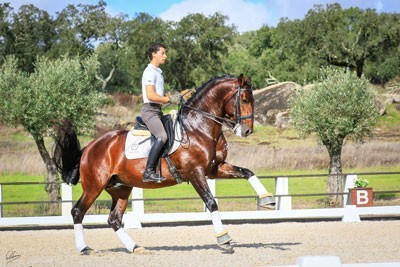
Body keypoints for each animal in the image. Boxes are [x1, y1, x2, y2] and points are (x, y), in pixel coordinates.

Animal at [54, 74, 276, 255]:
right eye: (245, 99)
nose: (247, 131)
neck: (199, 127)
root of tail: (90, 147)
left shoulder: (214, 169)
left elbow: (247, 172)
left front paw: (268, 200)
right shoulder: (195, 173)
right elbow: (211, 202)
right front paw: (224, 239)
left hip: (121, 188)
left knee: (114, 219)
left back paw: (135, 247)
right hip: (94, 185)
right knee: (78, 212)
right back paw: (84, 248)